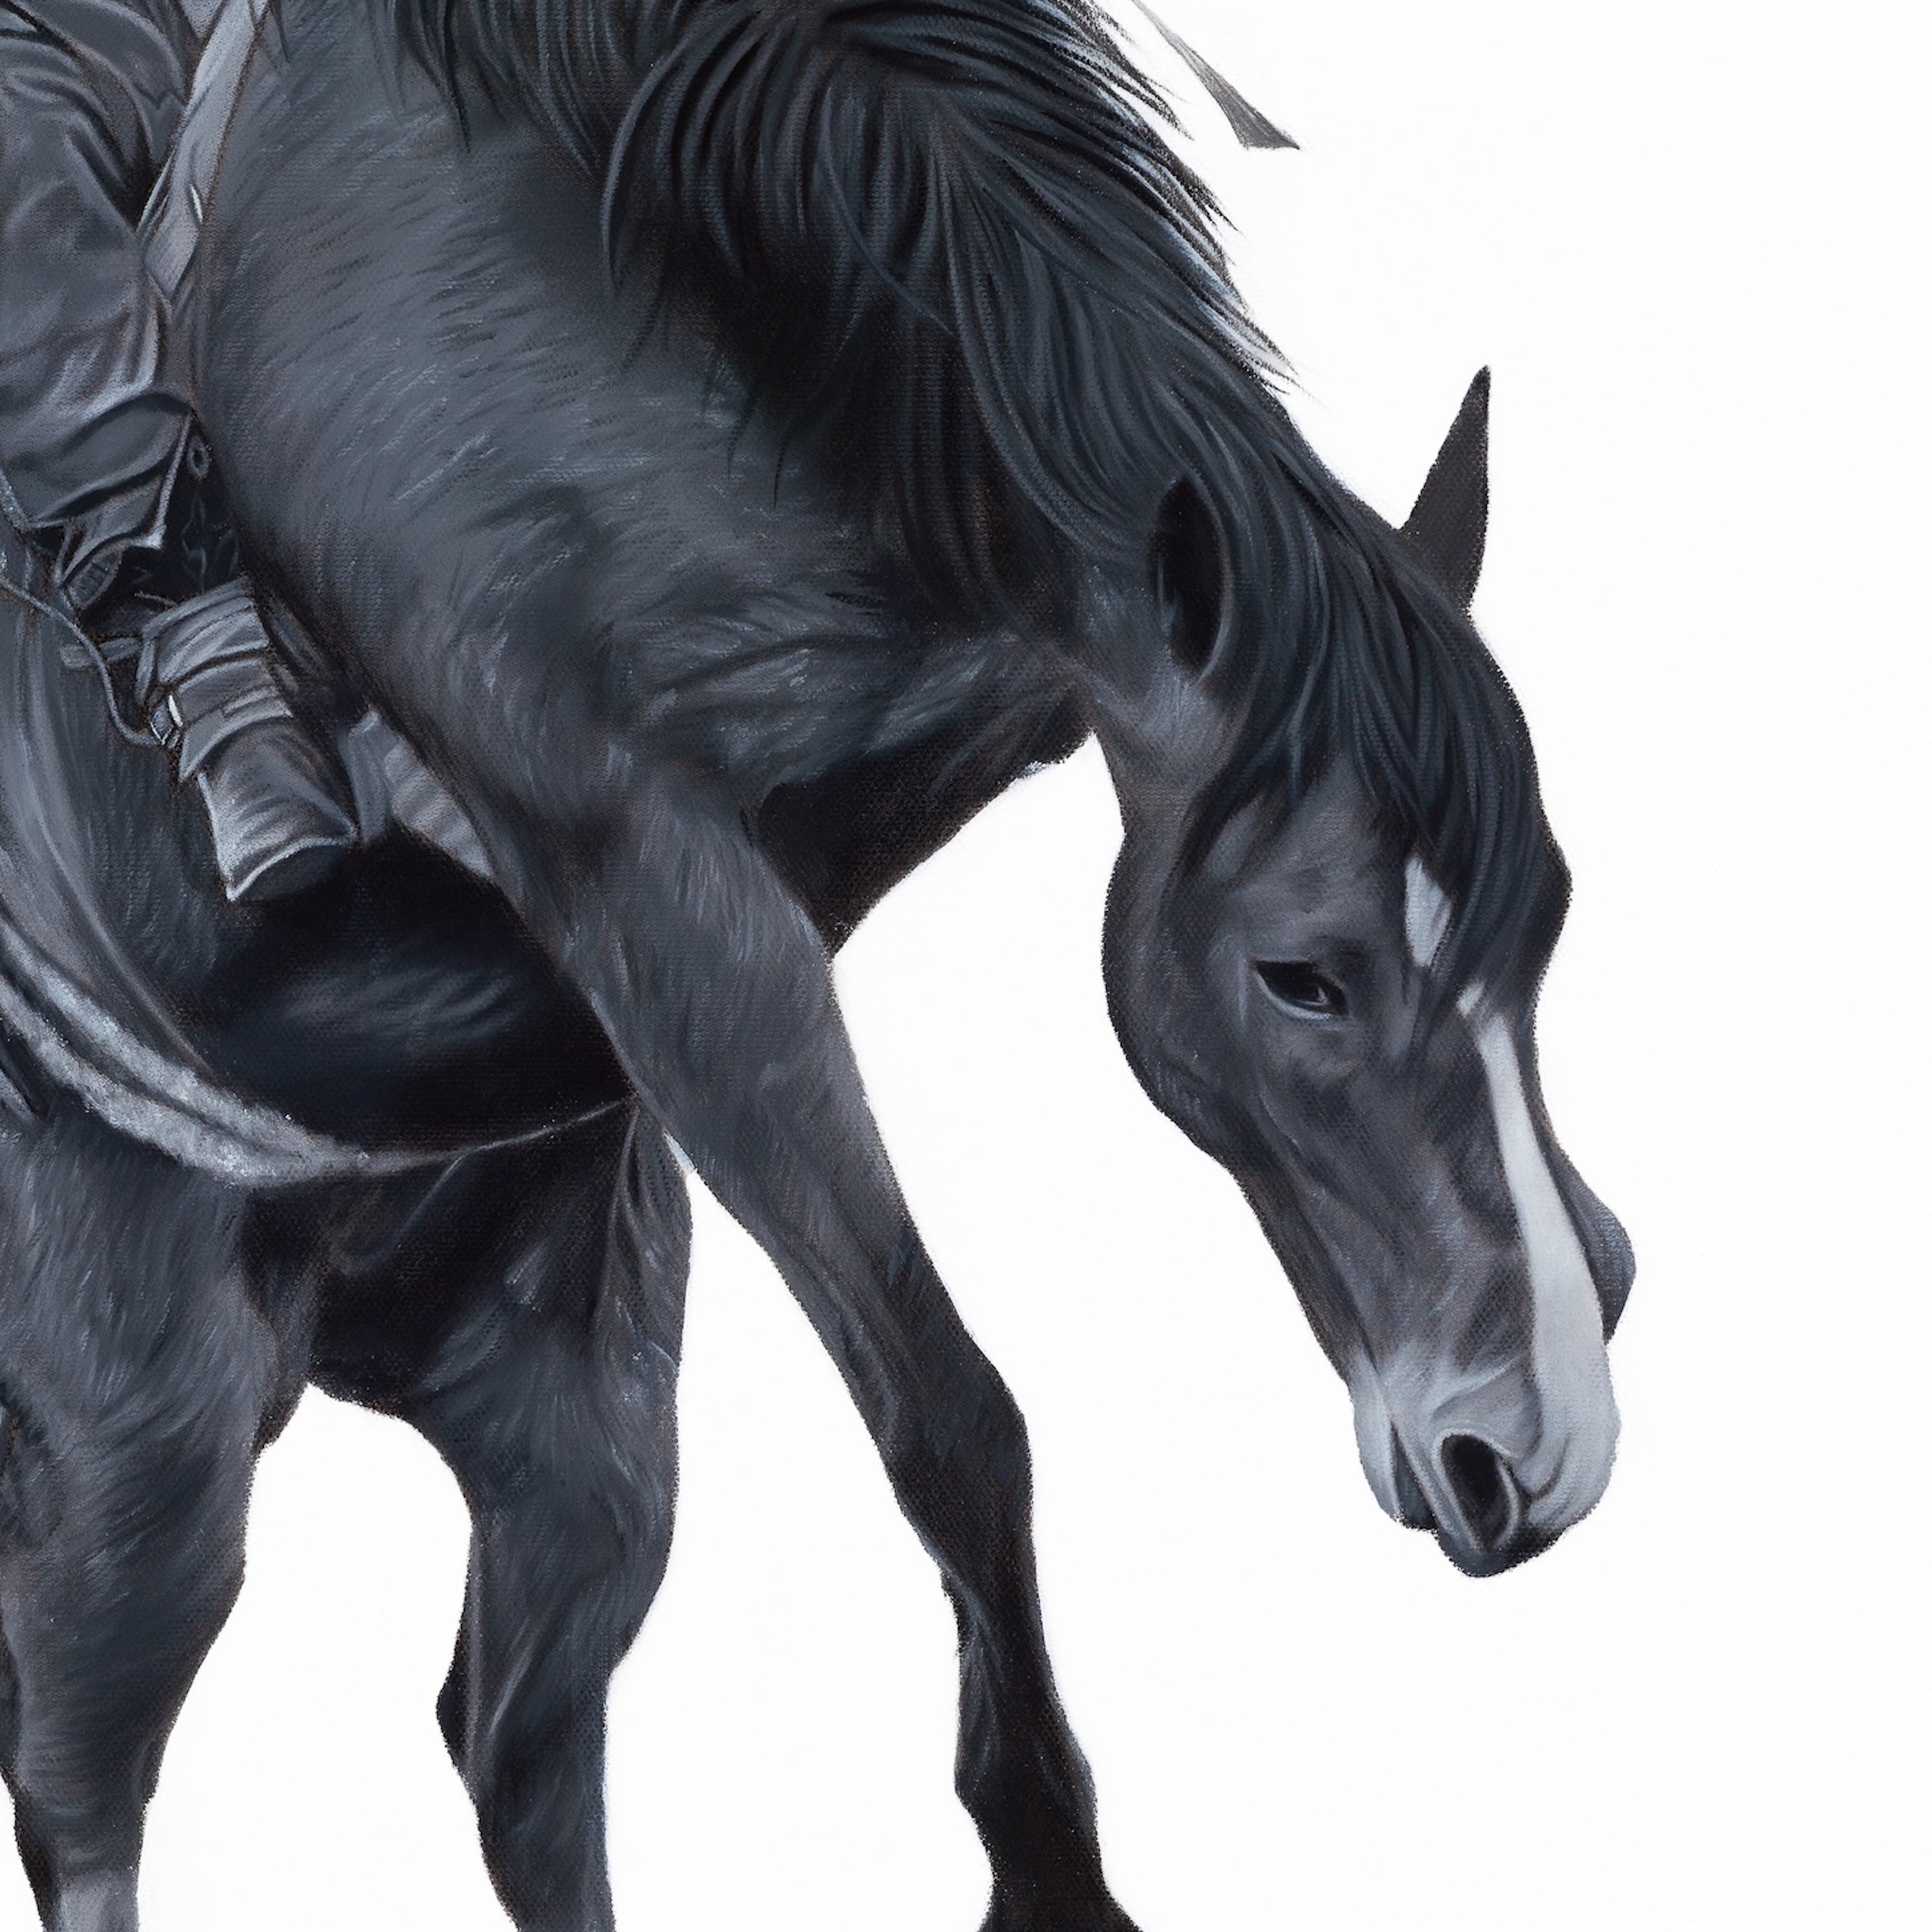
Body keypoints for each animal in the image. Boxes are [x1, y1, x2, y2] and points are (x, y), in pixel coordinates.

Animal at [0, 2, 1634, 1928]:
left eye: (1547, 924)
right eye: (1302, 974)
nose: (1534, 1445)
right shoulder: (659, 883)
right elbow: (952, 1415)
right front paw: (1051, 1871)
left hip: (568, 1435)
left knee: (516, 1743)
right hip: (141, 1452)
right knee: (88, 1783)